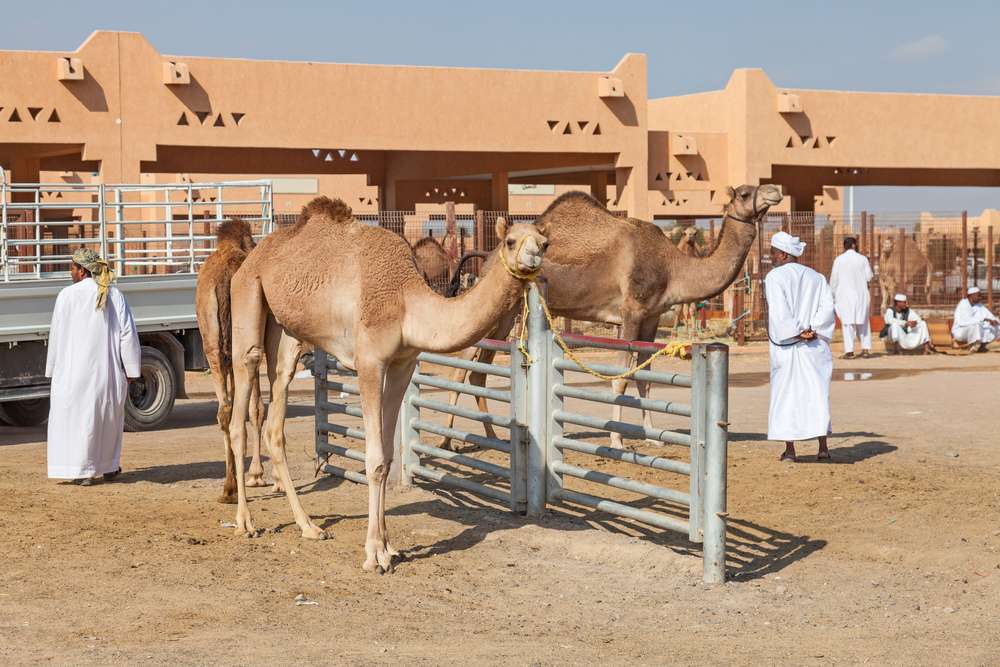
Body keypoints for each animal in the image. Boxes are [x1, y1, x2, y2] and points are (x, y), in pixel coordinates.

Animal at [194, 219, 272, 503]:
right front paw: (257, 475)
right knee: (240, 408)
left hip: (213, 347)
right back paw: (233, 486)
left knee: (224, 410)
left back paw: (228, 488)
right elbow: (257, 408)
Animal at [226, 196, 548, 572]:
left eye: (544, 242)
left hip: (286, 332)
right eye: (511, 241)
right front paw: (374, 554)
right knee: (240, 402)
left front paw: (390, 547)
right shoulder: (369, 362)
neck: (407, 301)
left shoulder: (402, 364)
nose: (533, 257)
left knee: (276, 419)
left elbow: (389, 456)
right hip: (248, 296)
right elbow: (375, 459)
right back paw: (245, 522)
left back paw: (308, 526)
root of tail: (253, 257)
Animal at [440, 184, 782, 450]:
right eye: (745, 193)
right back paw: (447, 440)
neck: (673, 267)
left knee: (478, 373)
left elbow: (645, 378)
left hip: (506, 317)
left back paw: (491, 436)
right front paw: (616, 440)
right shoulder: (632, 312)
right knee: (461, 369)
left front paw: (652, 436)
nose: (774, 191)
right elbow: (621, 379)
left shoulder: (651, 317)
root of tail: (486, 258)